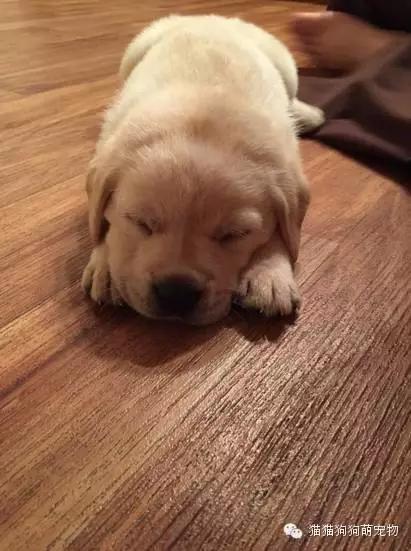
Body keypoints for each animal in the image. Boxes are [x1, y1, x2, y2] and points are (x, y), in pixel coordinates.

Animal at [82, 15, 324, 325]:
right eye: (140, 223)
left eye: (234, 234)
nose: (176, 291)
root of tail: (214, 19)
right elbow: (102, 224)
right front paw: (106, 265)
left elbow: (285, 231)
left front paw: (270, 275)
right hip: (134, 51)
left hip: (286, 66)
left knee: (292, 97)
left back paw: (308, 115)